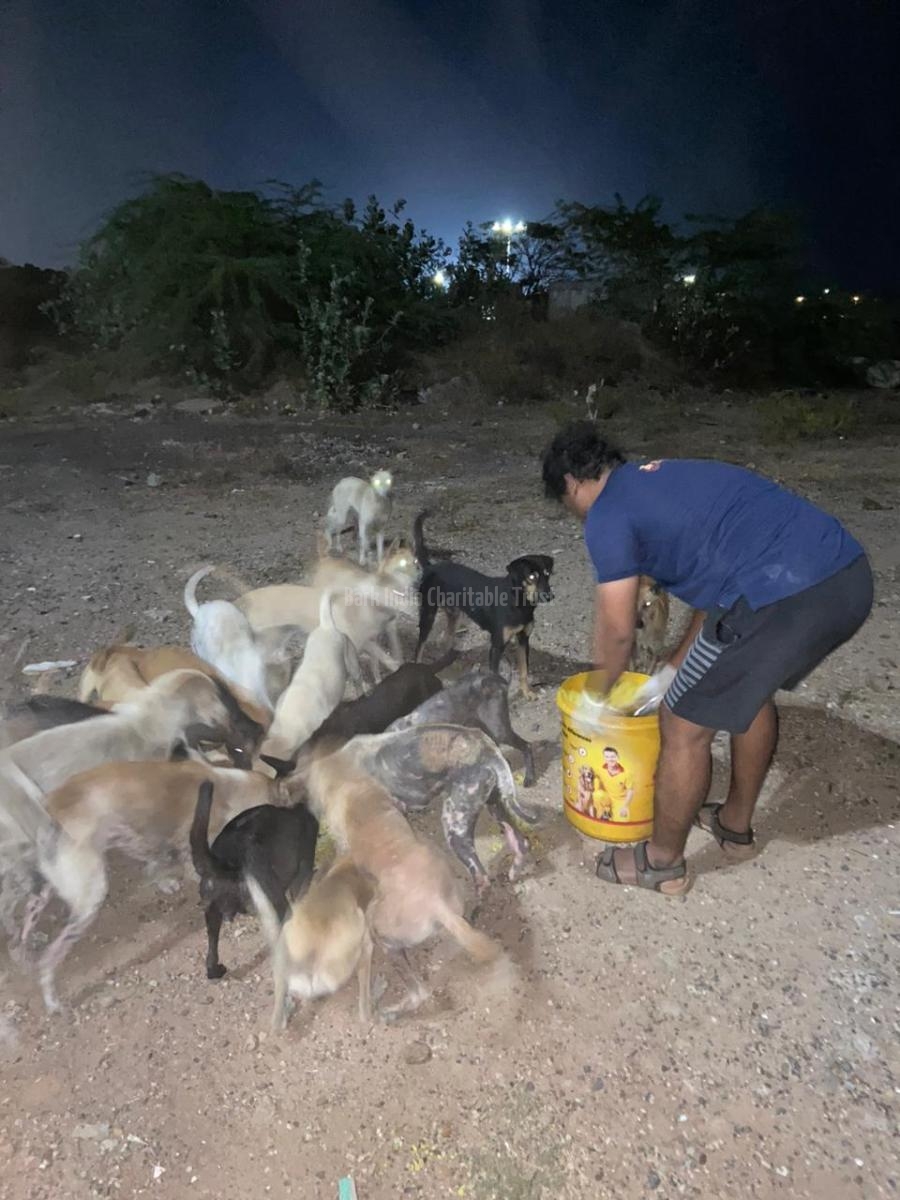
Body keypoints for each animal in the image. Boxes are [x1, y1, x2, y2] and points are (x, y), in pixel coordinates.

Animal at [12, 760, 276, 1011]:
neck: (229, 786)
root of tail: (49, 808)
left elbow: (155, 866)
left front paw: (165, 882)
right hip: (89, 897)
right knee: (49, 957)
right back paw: (52, 1001)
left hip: (43, 892)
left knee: (23, 930)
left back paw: (24, 959)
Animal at [190, 780, 319, 981]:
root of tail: (226, 860)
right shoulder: (302, 874)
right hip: (277, 904)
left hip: (211, 910)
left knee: (211, 948)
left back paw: (215, 971)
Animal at [413, 513, 554, 698]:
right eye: (531, 577)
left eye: (547, 574)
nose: (550, 596)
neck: (518, 603)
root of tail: (431, 567)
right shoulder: (497, 645)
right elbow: (495, 676)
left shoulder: (523, 639)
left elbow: (524, 670)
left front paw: (526, 692)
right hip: (427, 614)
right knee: (419, 647)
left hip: (454, 612)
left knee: (448, 634)